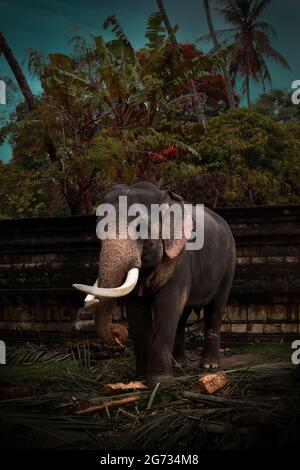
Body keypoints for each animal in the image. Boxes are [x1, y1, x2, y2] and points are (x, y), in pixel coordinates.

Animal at [73, 180, 237, 386]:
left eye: (139, 227)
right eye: (100, 230)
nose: (119, 334)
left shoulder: (180, 258)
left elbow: (167, 304)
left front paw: (160, 382)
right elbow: (136, 310)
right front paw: (141, 377)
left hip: (229, 263)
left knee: (216, 307)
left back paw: (209, 365)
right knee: (183, 314)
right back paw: (178, 364)